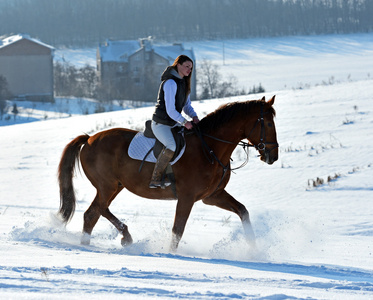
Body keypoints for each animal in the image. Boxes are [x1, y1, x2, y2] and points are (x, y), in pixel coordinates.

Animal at [58, 96, 278, 251]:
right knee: (94, 212)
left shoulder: (212, 196)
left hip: (115, 186)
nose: (273, 156)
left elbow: (243, 211)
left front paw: (253, 249)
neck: (209, 148)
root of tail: (89, 139)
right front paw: (171, 254)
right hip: (107, 186)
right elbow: (177, 230)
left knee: (96, 212)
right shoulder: (187, 198)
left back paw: (116, 238)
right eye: (267, 124)